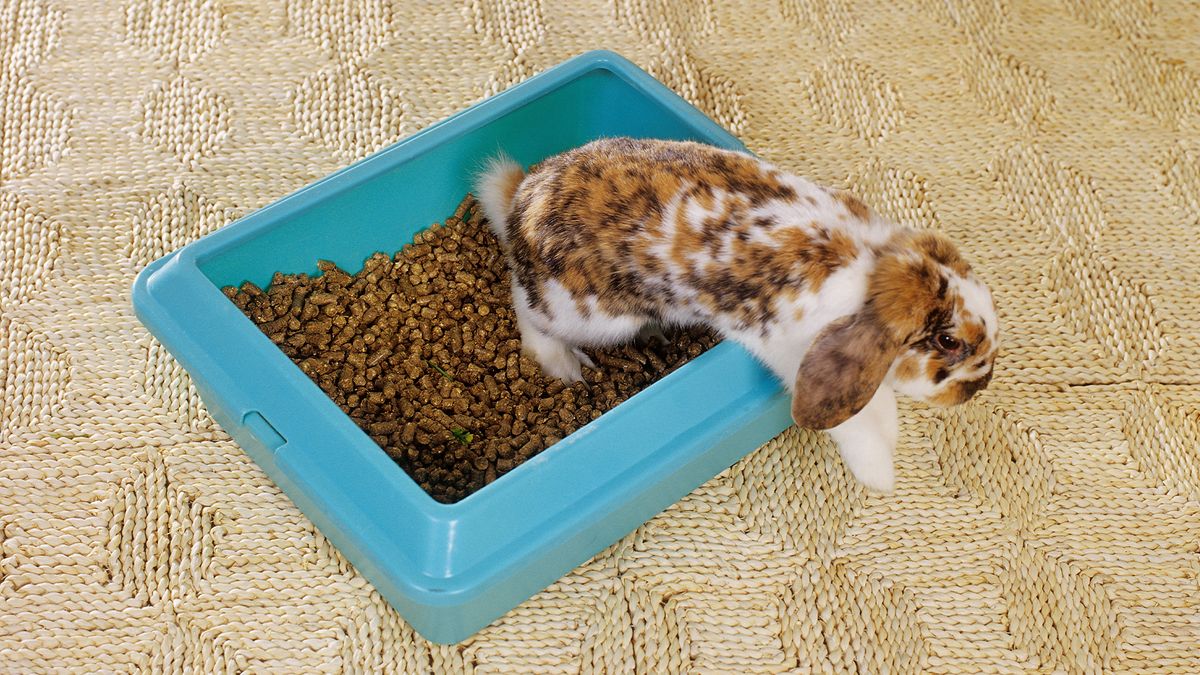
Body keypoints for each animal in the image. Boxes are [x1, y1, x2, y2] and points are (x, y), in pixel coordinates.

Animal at [472, 138, 998, 494]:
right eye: (948, 342)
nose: (976, 390)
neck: (873, 270)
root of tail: (520, 205)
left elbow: (876, 404)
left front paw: (890, 437)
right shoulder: (796, 356)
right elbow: (852, 425)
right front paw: (880, 475)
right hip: (589, 314)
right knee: (524, 306)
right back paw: (563, 363)